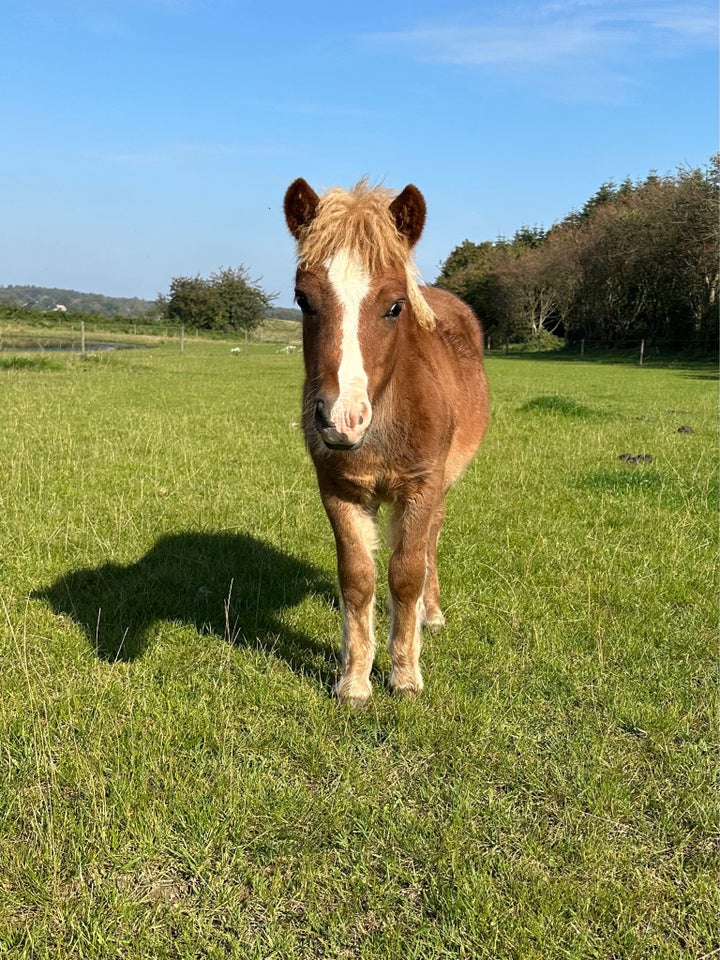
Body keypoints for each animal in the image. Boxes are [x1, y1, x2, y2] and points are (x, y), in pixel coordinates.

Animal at [282, 180, 490, 704]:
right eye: (303, 299)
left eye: (395, 306)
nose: (342, 420)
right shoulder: (341, 492)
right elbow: (358, 579)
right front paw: (355, 681)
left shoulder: (420, 488)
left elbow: (406, 574)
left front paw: (405, 674)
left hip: (440, 486)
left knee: (430, 544)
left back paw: (429, 615)